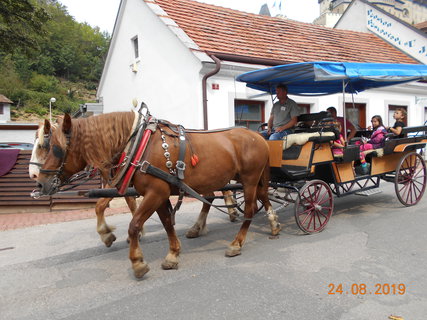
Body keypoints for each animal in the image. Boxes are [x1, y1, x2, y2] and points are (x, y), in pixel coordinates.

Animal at [36, 111, 280, 278]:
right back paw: (273, 225)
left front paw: (137, 262)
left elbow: (134, 224)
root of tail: (258, 136)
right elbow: (167, 223)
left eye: (55, 148)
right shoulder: (159, 194)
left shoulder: (156, 192)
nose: (39, 183)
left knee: (250, 208)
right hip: (242, 179)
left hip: (249, 179)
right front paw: (173, 254)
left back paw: (236, 243)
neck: (138, 146)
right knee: (260, 197)